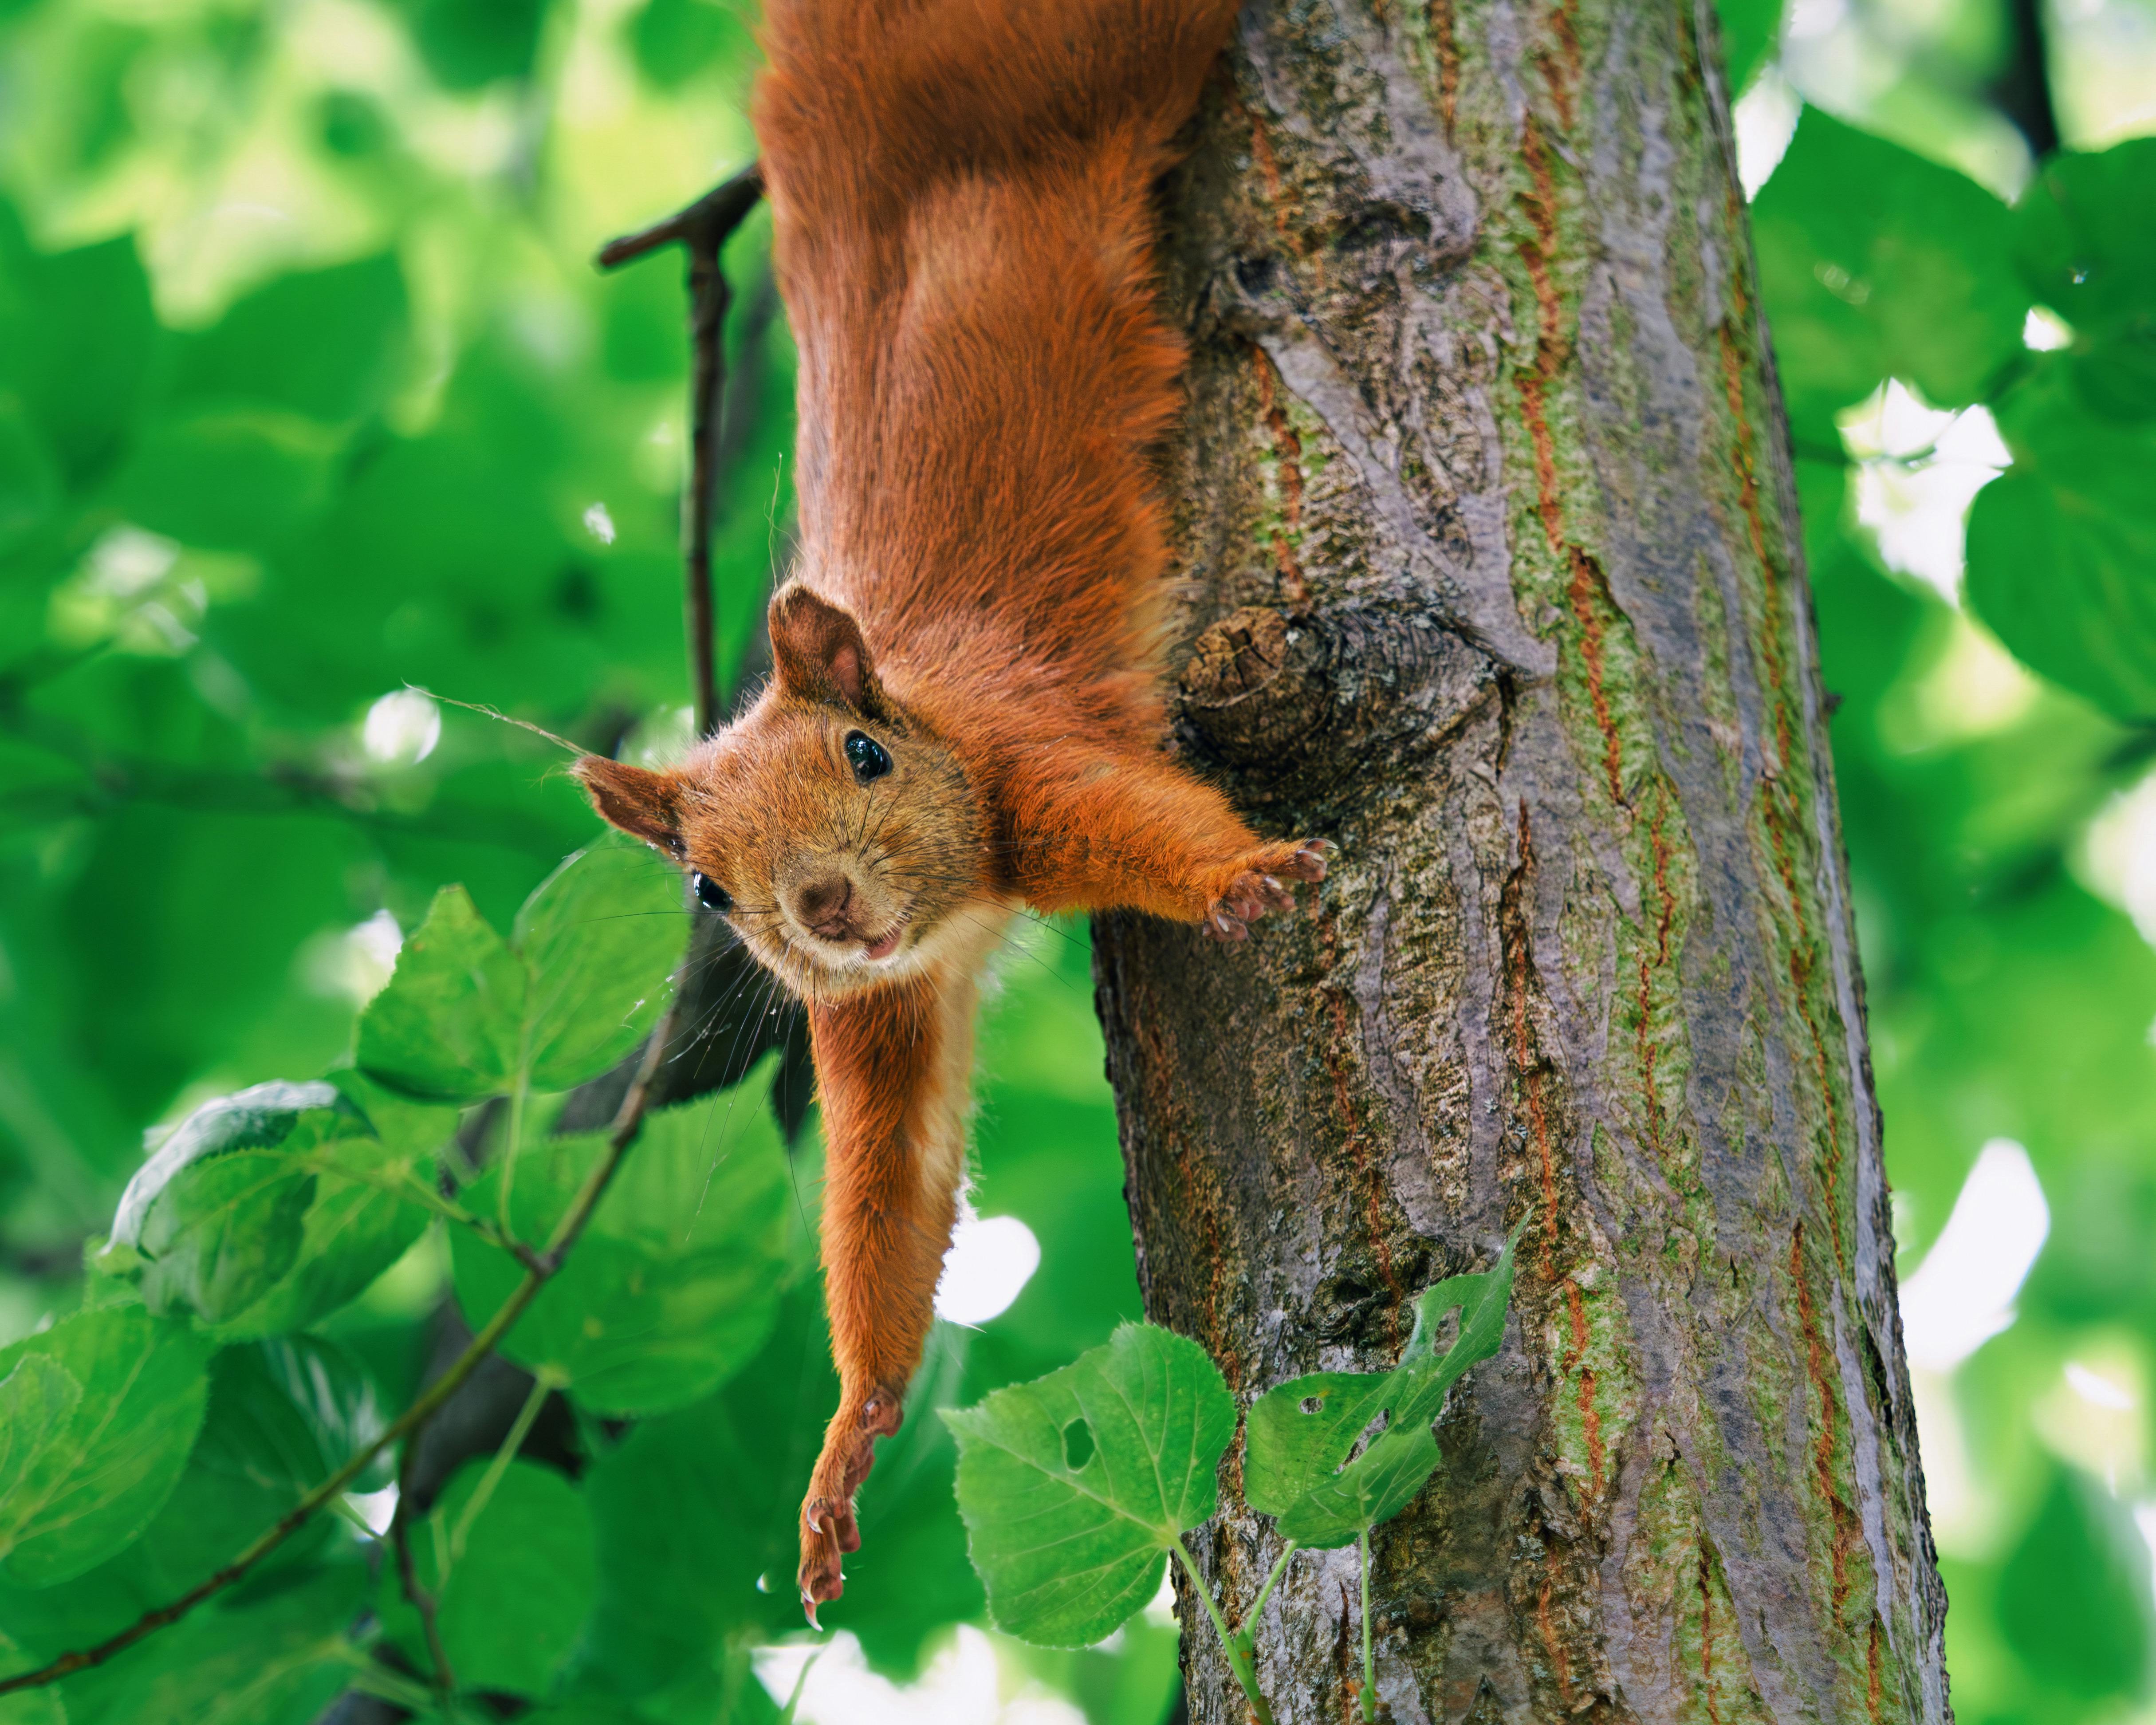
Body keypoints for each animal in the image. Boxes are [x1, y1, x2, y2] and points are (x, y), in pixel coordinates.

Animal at [575, 0, 1329, 1622]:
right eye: (708, 889)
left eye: (865, 755)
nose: (825, 908)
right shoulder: (880, 1008)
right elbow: (893, 1192)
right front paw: (845, 1437)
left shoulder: (1029, 758)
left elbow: (1149, 821)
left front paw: (1240, 874)